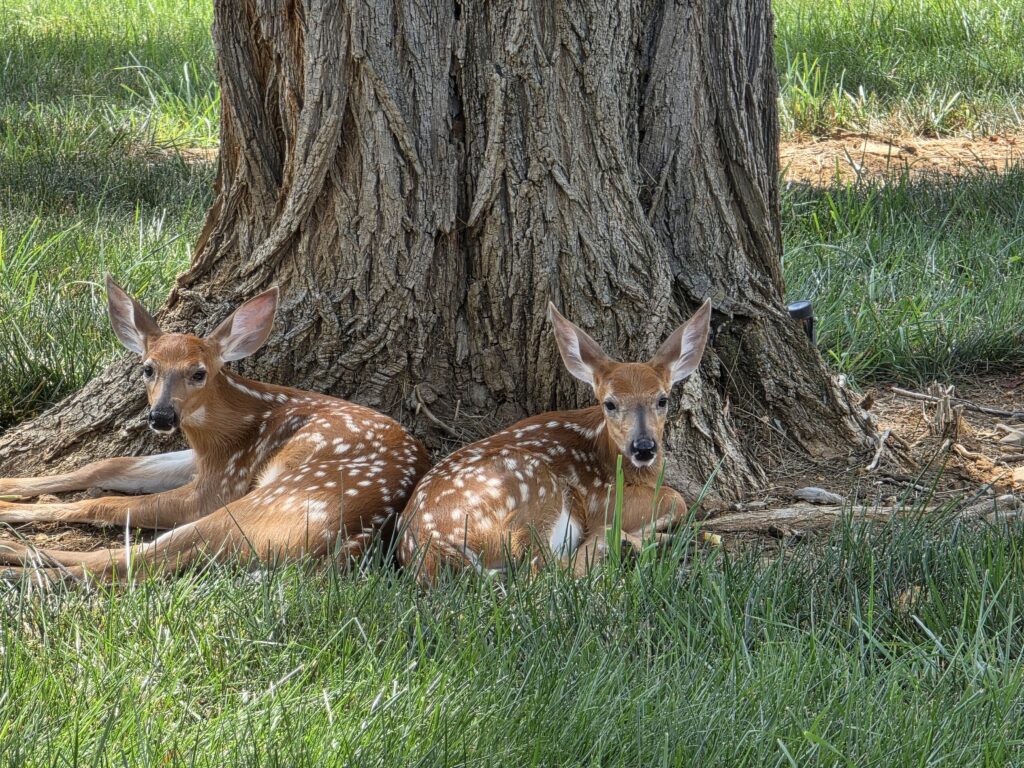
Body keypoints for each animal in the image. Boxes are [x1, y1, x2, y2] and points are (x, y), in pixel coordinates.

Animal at [0, 277, 430, 582]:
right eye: (148, 368)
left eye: (199, 372)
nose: (161, 417)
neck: (230, 427)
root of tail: (359, 541)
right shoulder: (206, 460)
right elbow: (106, 465)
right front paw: (8, 487)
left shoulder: (222, 482)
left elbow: (103, 503)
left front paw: (9, 508)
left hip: (281, 499)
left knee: (124, 561)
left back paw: (12, 563)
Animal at [397, 300, 712, 582]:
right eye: (609, 404)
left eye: (663, 400)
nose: (644, 447)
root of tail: (434, 549)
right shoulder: (602, 499)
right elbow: (676, 500)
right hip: (533, 486)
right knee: (542, 572)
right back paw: (629, 543)